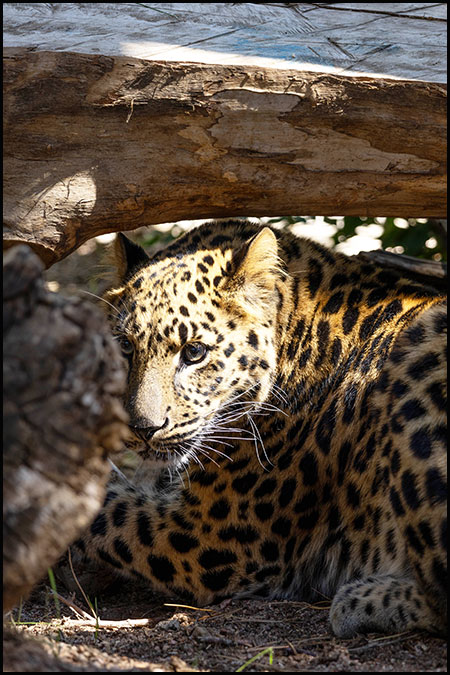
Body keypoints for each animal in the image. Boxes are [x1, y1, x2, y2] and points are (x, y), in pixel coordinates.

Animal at [78, 220, 446, 640]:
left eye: (194, 352)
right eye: (124, 346)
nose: (143, 429)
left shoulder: (211, 536)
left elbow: (108, 511)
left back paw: (359, 602)